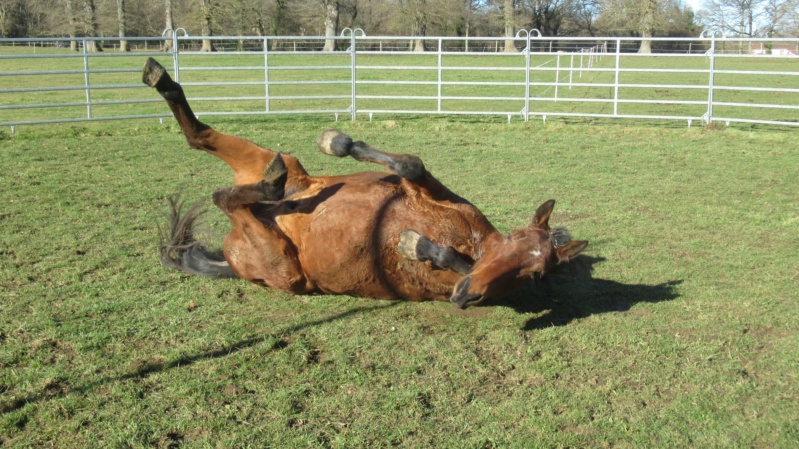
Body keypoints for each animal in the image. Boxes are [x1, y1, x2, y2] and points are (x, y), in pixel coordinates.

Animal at [144, 57, 588, 308]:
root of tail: (232, 259)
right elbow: (410, 165)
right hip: (282, 167)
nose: (467, 294)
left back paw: (268, 185)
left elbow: (445, 257)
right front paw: (337, 142)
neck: (469, 240)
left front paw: (416, 245)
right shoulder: (429, 191)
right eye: (512, 241)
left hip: (283, 264)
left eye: (536, 275)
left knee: (225, 195)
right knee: (200, 138)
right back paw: (160, 78)